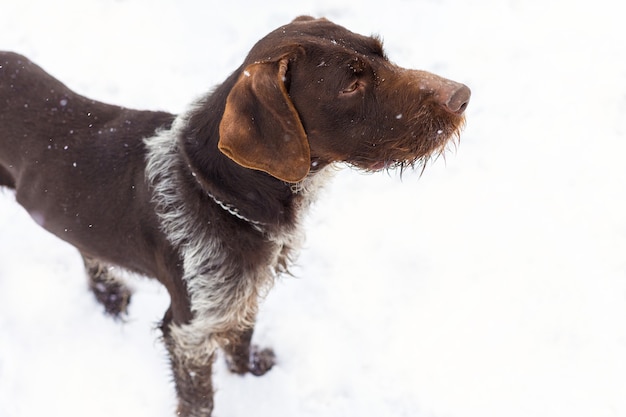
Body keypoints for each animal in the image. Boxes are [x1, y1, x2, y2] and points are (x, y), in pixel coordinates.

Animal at [0, 16, 468, 416]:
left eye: (381, 54)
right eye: (351, 84)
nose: (463, 95)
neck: (219, 192)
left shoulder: (243, 292)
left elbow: (242, 338)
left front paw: (249, 374)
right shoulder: (188, 330)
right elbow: (199, 399)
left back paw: (109, 294)